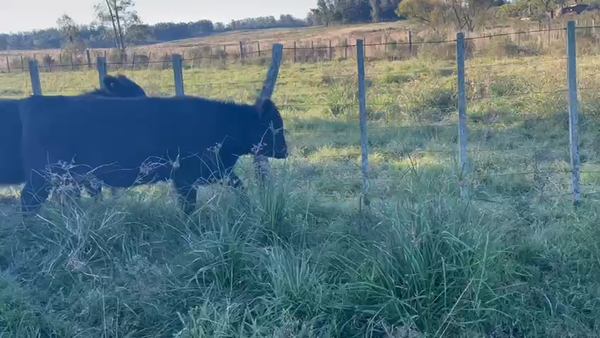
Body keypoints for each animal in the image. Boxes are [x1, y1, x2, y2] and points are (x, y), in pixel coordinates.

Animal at [17, 94, 288, 214]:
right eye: (274, 126)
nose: (286, 151)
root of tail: (37, 100)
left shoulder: (217, 170)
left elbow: (239, 185)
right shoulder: (185, 177)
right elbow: (189, 204)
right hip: (42, 176)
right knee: (28, 200)